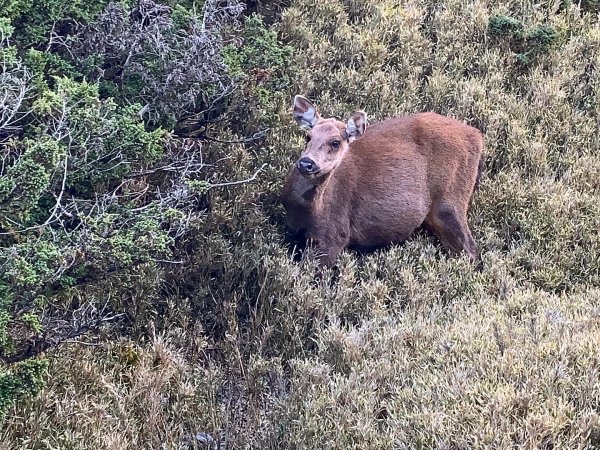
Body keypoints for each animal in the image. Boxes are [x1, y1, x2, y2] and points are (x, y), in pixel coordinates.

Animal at [282, 95, 488, 268]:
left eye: (335, 142)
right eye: (308, 136)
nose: (306, 163)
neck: (308, 210)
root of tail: (477, 135)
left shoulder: (334, 233)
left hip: (450, 201)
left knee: (471, 249)